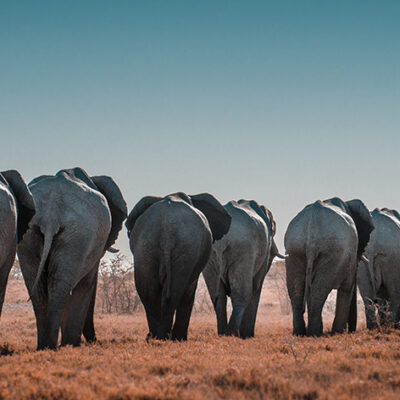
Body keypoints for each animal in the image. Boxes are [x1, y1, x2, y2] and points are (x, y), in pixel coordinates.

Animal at [16, 167, 126, 348]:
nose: (95, 341)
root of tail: (51, 215)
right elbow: (87, 284)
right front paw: (73, 344)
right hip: (79, 235)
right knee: (62, 287)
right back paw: (58, 345)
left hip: (30, 235)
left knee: (39, 289)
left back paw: (44, 346)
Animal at [125, 193, 231, 340]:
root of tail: (167, 233)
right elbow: (190, 290)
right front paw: (179, 339)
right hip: (186, 248)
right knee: (174, 292)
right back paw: (166, 337)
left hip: (146, 247)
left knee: (149, 293)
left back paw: (154, 337)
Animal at [202, 199, 282, 338]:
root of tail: (223, 239)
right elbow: (256, 287)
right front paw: (248, 335)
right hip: (244, 250)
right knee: (242, 293)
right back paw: (233, 333)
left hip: (211, 256)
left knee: (218, 297)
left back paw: (222, 334)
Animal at [284, 198, 372, 336]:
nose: (351, 330)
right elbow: (347, 287)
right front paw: (338, 332)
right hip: (333, 251)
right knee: (319, 290)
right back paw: (314, 333)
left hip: (294, 248)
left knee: (297, 290)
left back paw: (300, 332)